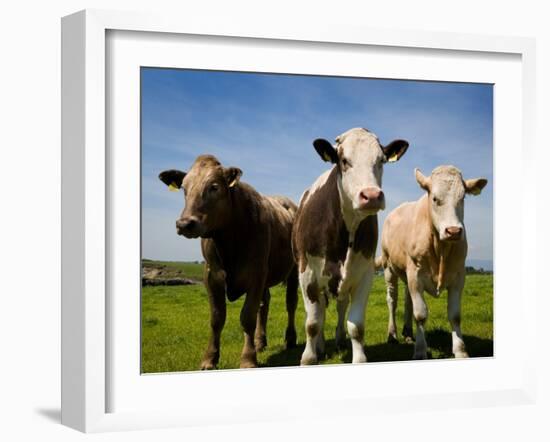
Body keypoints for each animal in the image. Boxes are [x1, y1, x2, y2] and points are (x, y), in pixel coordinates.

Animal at [160, 155, 298, 370]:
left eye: (214, 187)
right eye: (184, 188)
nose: (184, 224)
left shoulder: (256, 273)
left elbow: (247, 316)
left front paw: (248, 359)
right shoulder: (212, 275)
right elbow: (217, 318)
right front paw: (209, 359)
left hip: (293, 270)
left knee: (291, 303)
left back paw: (290, 339)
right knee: (264, 304)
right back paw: (260, 342)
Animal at [296, 127, 412, 362]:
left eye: (381, 160)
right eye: (343, 160)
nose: (372, 196)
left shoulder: (364, 273)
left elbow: (356, 325)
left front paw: (358, 358)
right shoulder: (307, 274)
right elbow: (312, 323)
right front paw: (309, 357)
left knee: (340, 307)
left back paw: (339, 340)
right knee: (320, 311)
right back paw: (320, 346)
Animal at [380, 166, 492, 360]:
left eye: (463, 198)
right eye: (434, 198)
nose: (453, 231)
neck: (440, 250)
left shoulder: (458, 276)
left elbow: (455, 315)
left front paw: (460, 350)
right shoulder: (415, 275)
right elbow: (420, 314)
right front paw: (420, 351)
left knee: (407, 301)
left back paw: (408, 333)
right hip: (389, 268)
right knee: (392, 300)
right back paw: (392, 335)